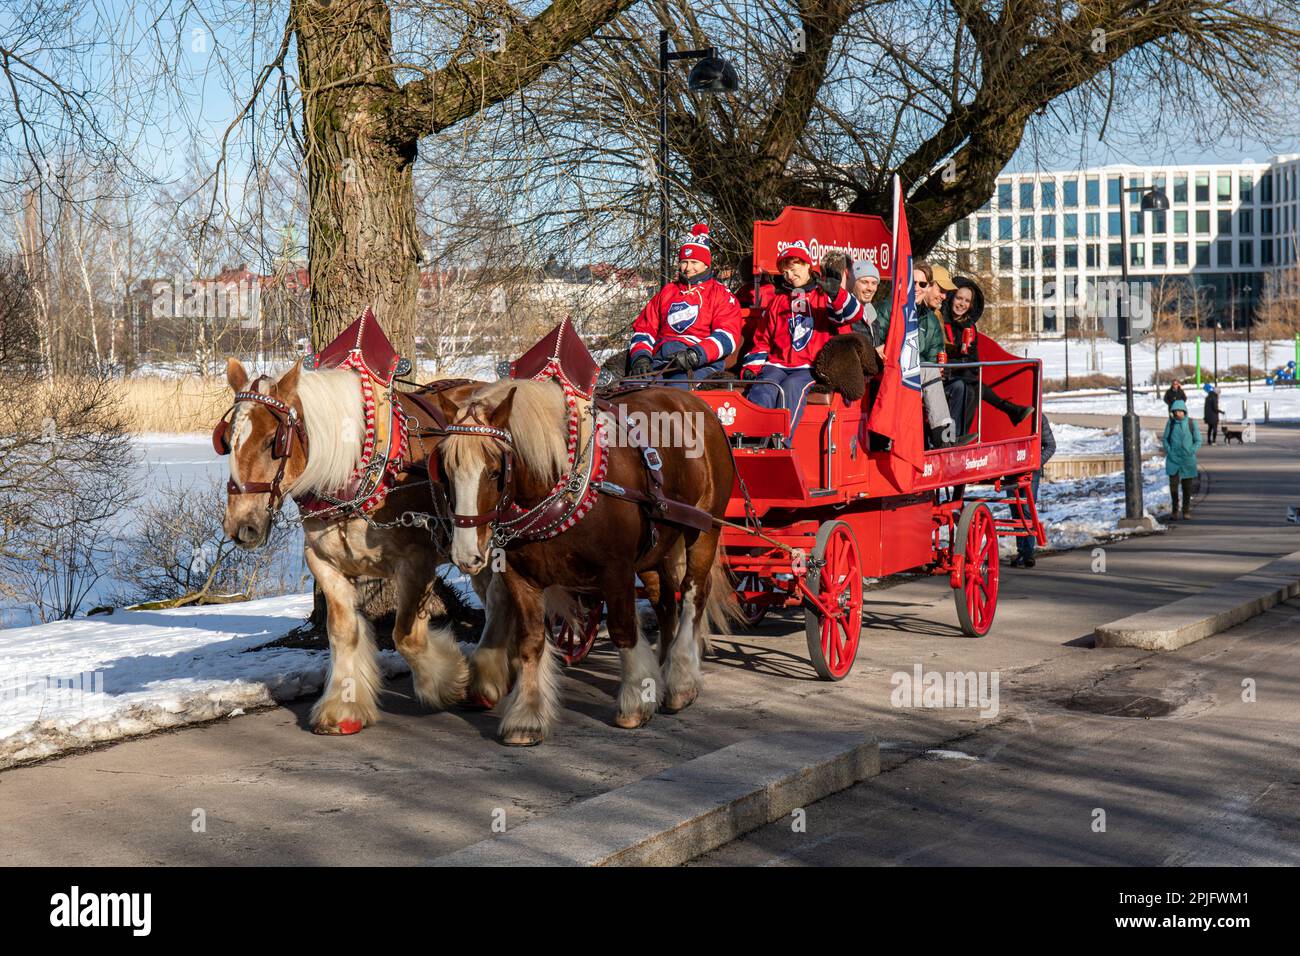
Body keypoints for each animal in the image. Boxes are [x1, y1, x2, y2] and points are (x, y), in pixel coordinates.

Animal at [215, 358, 486, 738]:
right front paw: (343, 706)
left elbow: (406, 636)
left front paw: (450, 681)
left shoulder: (416, 561)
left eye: (273, 441)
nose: (242, 526)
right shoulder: (324, 562)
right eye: (226, 440)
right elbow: (343, 633)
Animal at [439, 374, 738, 749]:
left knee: (693, 595)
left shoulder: (617, 571)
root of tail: (696, 403)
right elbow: (531, 641)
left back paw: (681, 680)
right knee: (666, 602)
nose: (465, 555)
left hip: (704, 528)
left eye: (495, 471)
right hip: (657, 548)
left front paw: (635, 701)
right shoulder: (520, 576)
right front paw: (526, 717)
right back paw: (662, 667)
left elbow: (624, 629)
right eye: (446, 470)